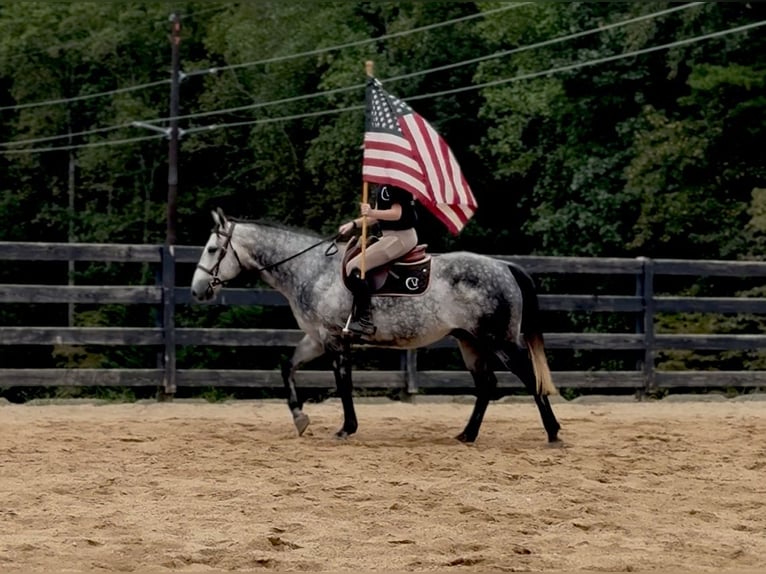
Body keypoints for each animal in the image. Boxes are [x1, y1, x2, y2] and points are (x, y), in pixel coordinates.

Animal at [190, 208, 561, 444]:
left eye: (212, 249)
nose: (197, 290)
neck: (311, 269)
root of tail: (503, 266)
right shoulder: (316, 338)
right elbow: (287, 368)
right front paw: (300, 418)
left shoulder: (335, 339)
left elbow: (343, 384)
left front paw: (346, 428)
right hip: (469, 341)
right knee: (486, 385)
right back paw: (467, 435)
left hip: (500, 340)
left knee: (529, 377)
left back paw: (554, 432)